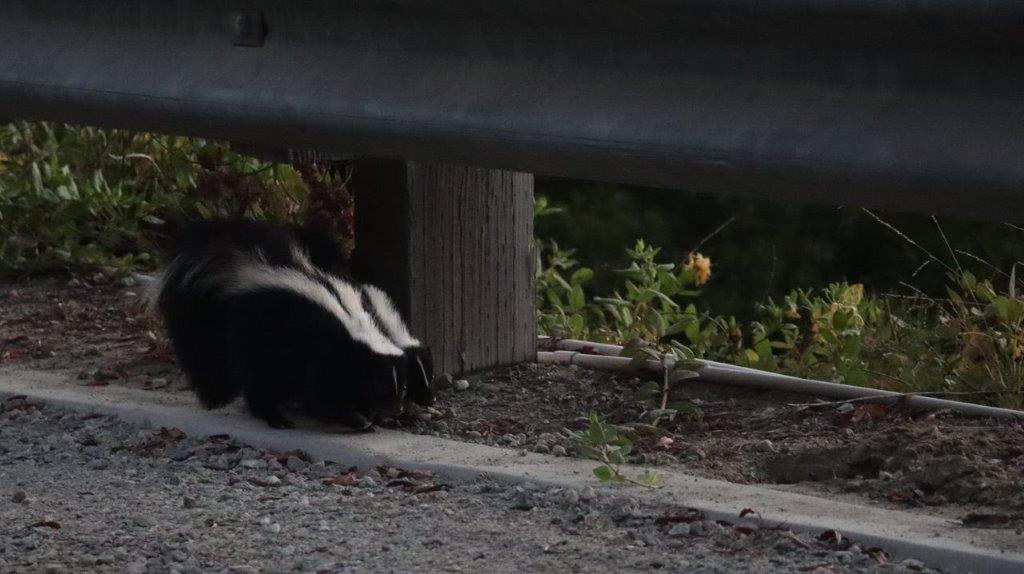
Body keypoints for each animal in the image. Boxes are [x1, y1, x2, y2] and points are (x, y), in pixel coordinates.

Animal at [149, 218, 434, 429]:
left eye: (404, 385)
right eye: (381, 384)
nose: (396, 409)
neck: (357, 325)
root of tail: (246, 266)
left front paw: (369, 414)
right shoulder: (326, 356)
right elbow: (322, 393)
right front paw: (357, 419)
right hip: (259, 335)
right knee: (259, 380)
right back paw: (274, 417)